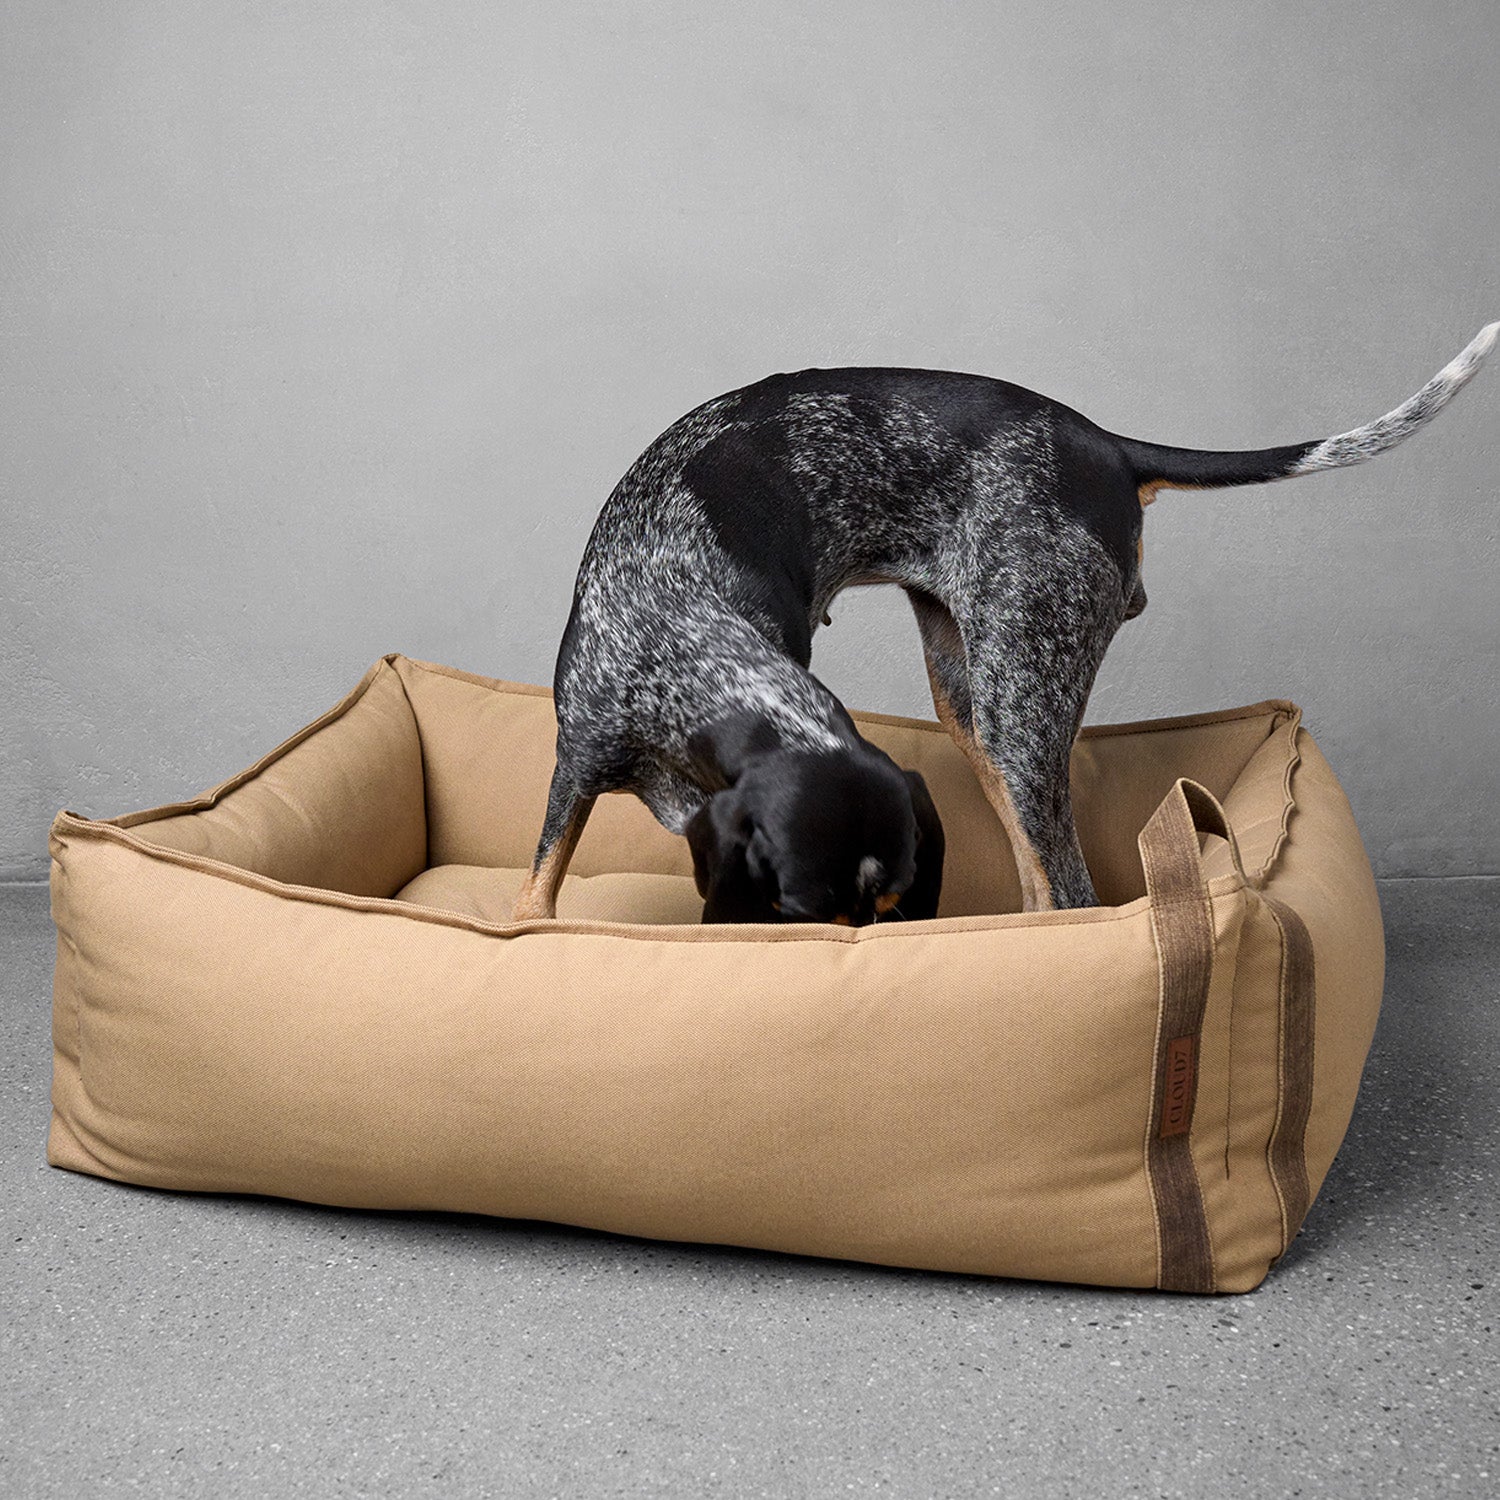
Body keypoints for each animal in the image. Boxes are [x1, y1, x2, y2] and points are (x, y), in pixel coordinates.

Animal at [513, 322, 1488, 918]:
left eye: (887, 905)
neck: (683, 637)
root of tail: (1108, 444)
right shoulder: (576, 764)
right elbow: (535, 898)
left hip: (1021, 699)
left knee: (1075, 895)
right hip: (976, 708)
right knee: (1040, 886)